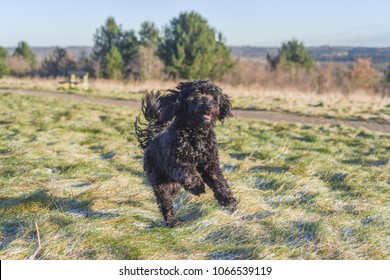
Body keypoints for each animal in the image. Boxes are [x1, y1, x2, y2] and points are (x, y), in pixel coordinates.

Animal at [136, 80, 236, 226]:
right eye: (197, 95)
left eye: (213, 96)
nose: (208, 106)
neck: (196, 133)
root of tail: (152, 139)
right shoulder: (176, 161)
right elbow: (187, 172)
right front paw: (197, 186)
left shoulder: (210, 162)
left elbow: (218, 179)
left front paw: (228, 199)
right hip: (159, 181)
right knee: (165, 202)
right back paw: (172, 222)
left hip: (173, 185)